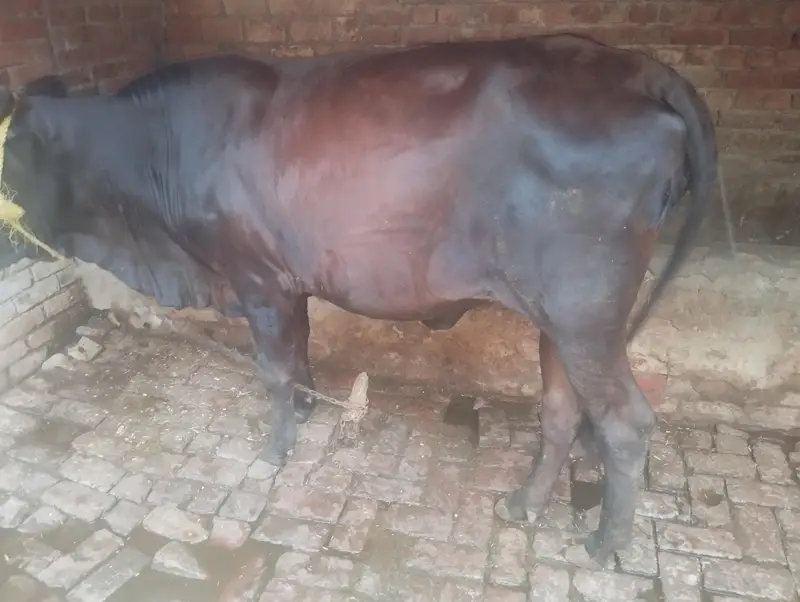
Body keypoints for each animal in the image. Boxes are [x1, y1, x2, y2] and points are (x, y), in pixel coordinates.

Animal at [0, 33, 717, 564]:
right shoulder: (286, 282)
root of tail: (635, 65)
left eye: (9, 151)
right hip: (559, 318)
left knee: (625, 423)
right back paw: (523, 504)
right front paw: (307, 411)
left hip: (585, 312)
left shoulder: (256, 279)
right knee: (562, 412)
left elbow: (273, 369)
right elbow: (299, 351)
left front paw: (276, 451)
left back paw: (605, 543)